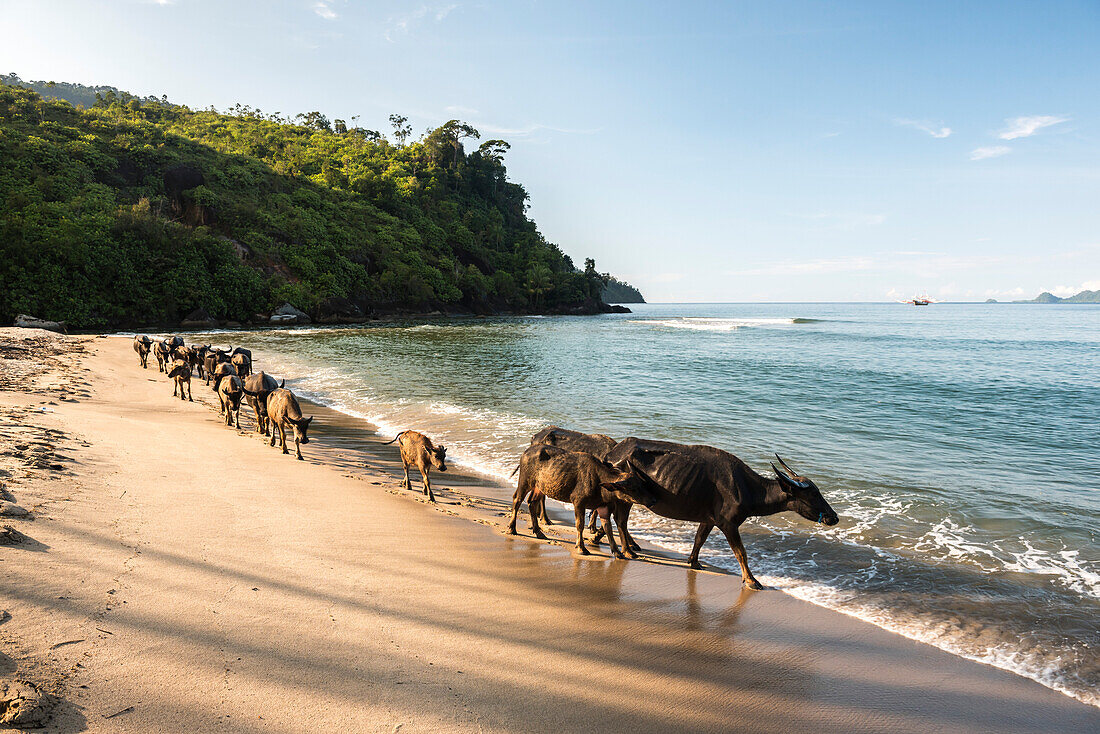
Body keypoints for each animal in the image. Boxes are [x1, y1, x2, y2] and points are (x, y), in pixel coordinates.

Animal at [503, 444, 651, 559]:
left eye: (642, 484)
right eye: (633, 488)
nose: (652, 500)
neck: (600, 483)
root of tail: (526, 451)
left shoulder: (603, 507)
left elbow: (607, 527)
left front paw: (617, 552)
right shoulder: (578, 502)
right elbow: (580, 525)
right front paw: (581, 548)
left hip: (539, 487)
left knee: (531, 502)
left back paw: (539, 532)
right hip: (525, 481)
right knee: (517, 499)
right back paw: (512, 528)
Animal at [598, 440, 836, 589]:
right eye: (813, 494)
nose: (833, 517)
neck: (747, 488)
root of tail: (612, 453)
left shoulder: (709, 520)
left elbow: (699, 539)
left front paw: (693, 561)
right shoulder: (729, 524)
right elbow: (741, 553)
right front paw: (751, 580)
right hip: (625, 498)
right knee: (620, 521)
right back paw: (627, 551)